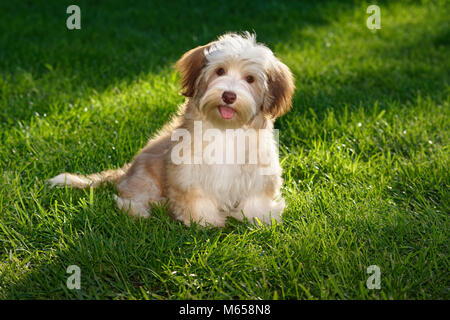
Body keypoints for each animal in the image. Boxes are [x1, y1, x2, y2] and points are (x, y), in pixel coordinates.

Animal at [48, 31, 296, 228]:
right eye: (220, 71)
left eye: (250, 79)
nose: (228, 95)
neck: (225, 129)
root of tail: (127, 170)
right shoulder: (188, 174)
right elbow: (197, 199)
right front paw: (204, 222)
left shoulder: (259, 172)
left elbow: (256, 198)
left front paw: (259, 218)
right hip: (145, 178)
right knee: (127, 198)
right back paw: (143, 210)